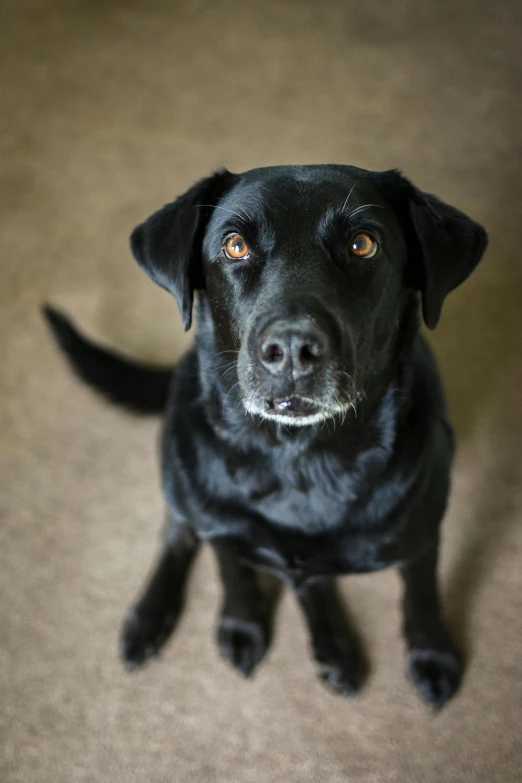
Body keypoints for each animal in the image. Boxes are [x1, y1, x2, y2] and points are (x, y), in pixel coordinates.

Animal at [42, 164, 486, 712]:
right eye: (235, 246)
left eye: (362, 244)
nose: (292, 349)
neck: (299, 459)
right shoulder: (221, 525)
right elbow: (231, 571)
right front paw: (241, 625)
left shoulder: (423, 537)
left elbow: (422, 598)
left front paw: (431, 656)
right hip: (177, 466)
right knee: (176, 531)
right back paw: (149, 617)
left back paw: (332, 645)